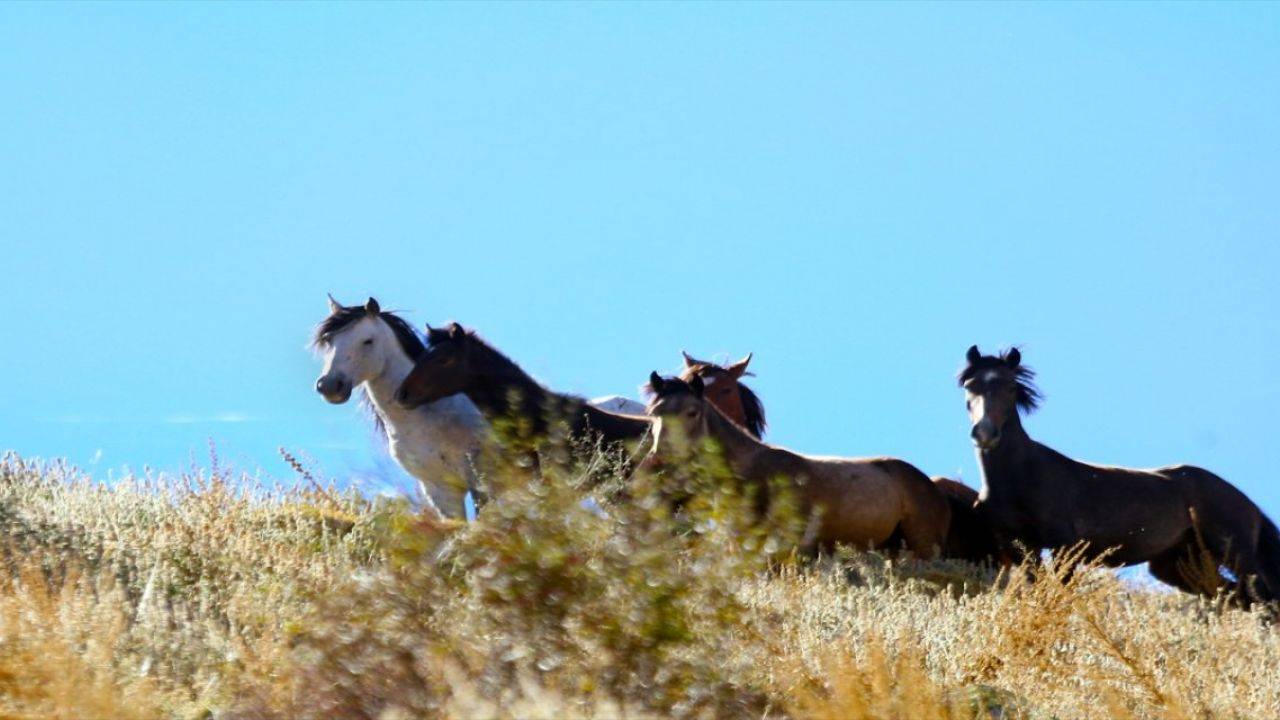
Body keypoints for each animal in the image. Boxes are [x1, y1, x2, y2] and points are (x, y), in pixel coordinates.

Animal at [962, 343, 1280, 599]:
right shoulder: (1021, 548)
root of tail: (1247, 504)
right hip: (1180, 564)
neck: (1020, 477)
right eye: (969, 385)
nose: (985, 433)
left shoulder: (1066, 547)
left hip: (1235, 554)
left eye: (1010, 387)